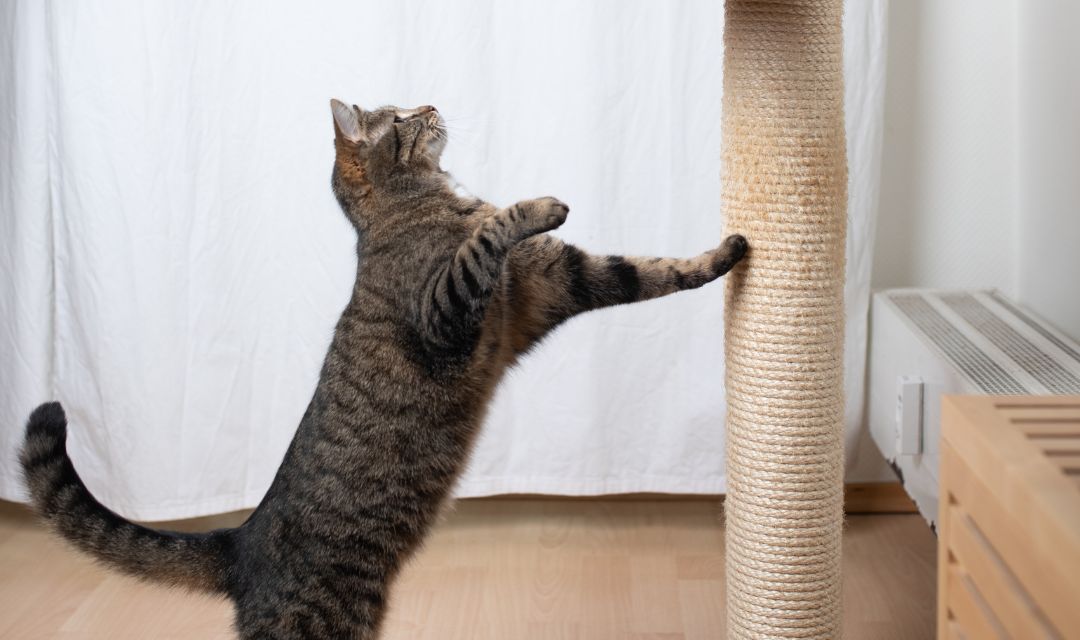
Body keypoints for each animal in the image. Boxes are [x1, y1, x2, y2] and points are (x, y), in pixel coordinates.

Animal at [23, 97, 751, 634]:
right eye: (399, 117)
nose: (429, 101)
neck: (419, 203)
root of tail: (240, 540)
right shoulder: (446, 312)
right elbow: (493, 229)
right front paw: (537, 205)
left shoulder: (554, 284)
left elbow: (650, 271)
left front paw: (729, 251)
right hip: (324, 619)